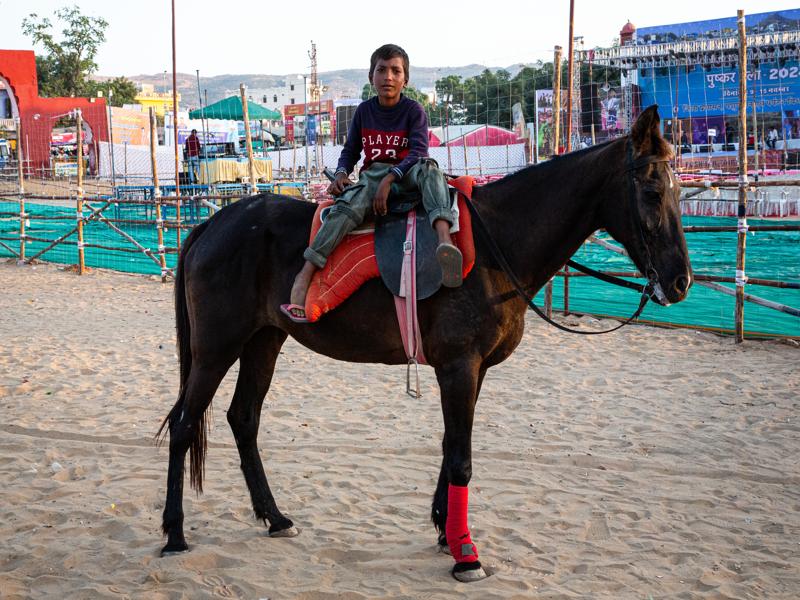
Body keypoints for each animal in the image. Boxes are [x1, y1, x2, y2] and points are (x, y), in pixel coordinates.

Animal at [158, 108, 692, 580]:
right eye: (650, 191)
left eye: (679, 190)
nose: (681, 280)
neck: (497, 244)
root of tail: (213, 224)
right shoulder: (458, 366)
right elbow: (461, 458)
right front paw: (466, 554)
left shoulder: (474, 370)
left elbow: (450, 445)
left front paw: (444, 529)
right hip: (216, 348)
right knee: (184, 425)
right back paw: (175, 532)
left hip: (263, 340)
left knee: (243, 419)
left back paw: (275, 517)